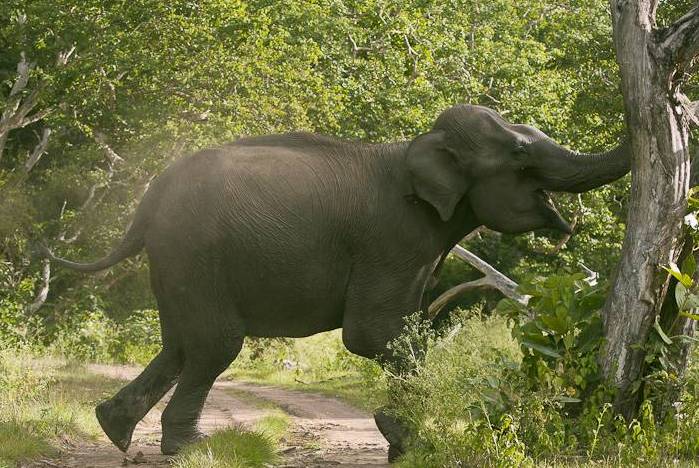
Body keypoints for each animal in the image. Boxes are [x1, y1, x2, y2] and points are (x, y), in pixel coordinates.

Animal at [45, 105, 636, 460]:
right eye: (520, 153)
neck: (419, 146)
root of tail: (149, 196)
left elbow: (403, 331)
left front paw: (403, 441)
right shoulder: (394, 237)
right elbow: (373, 336)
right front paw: (405, 441)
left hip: (175, 261)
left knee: (178, 344)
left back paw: (115, 428)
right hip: (195, 254)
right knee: (214, 345)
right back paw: (190, 448)